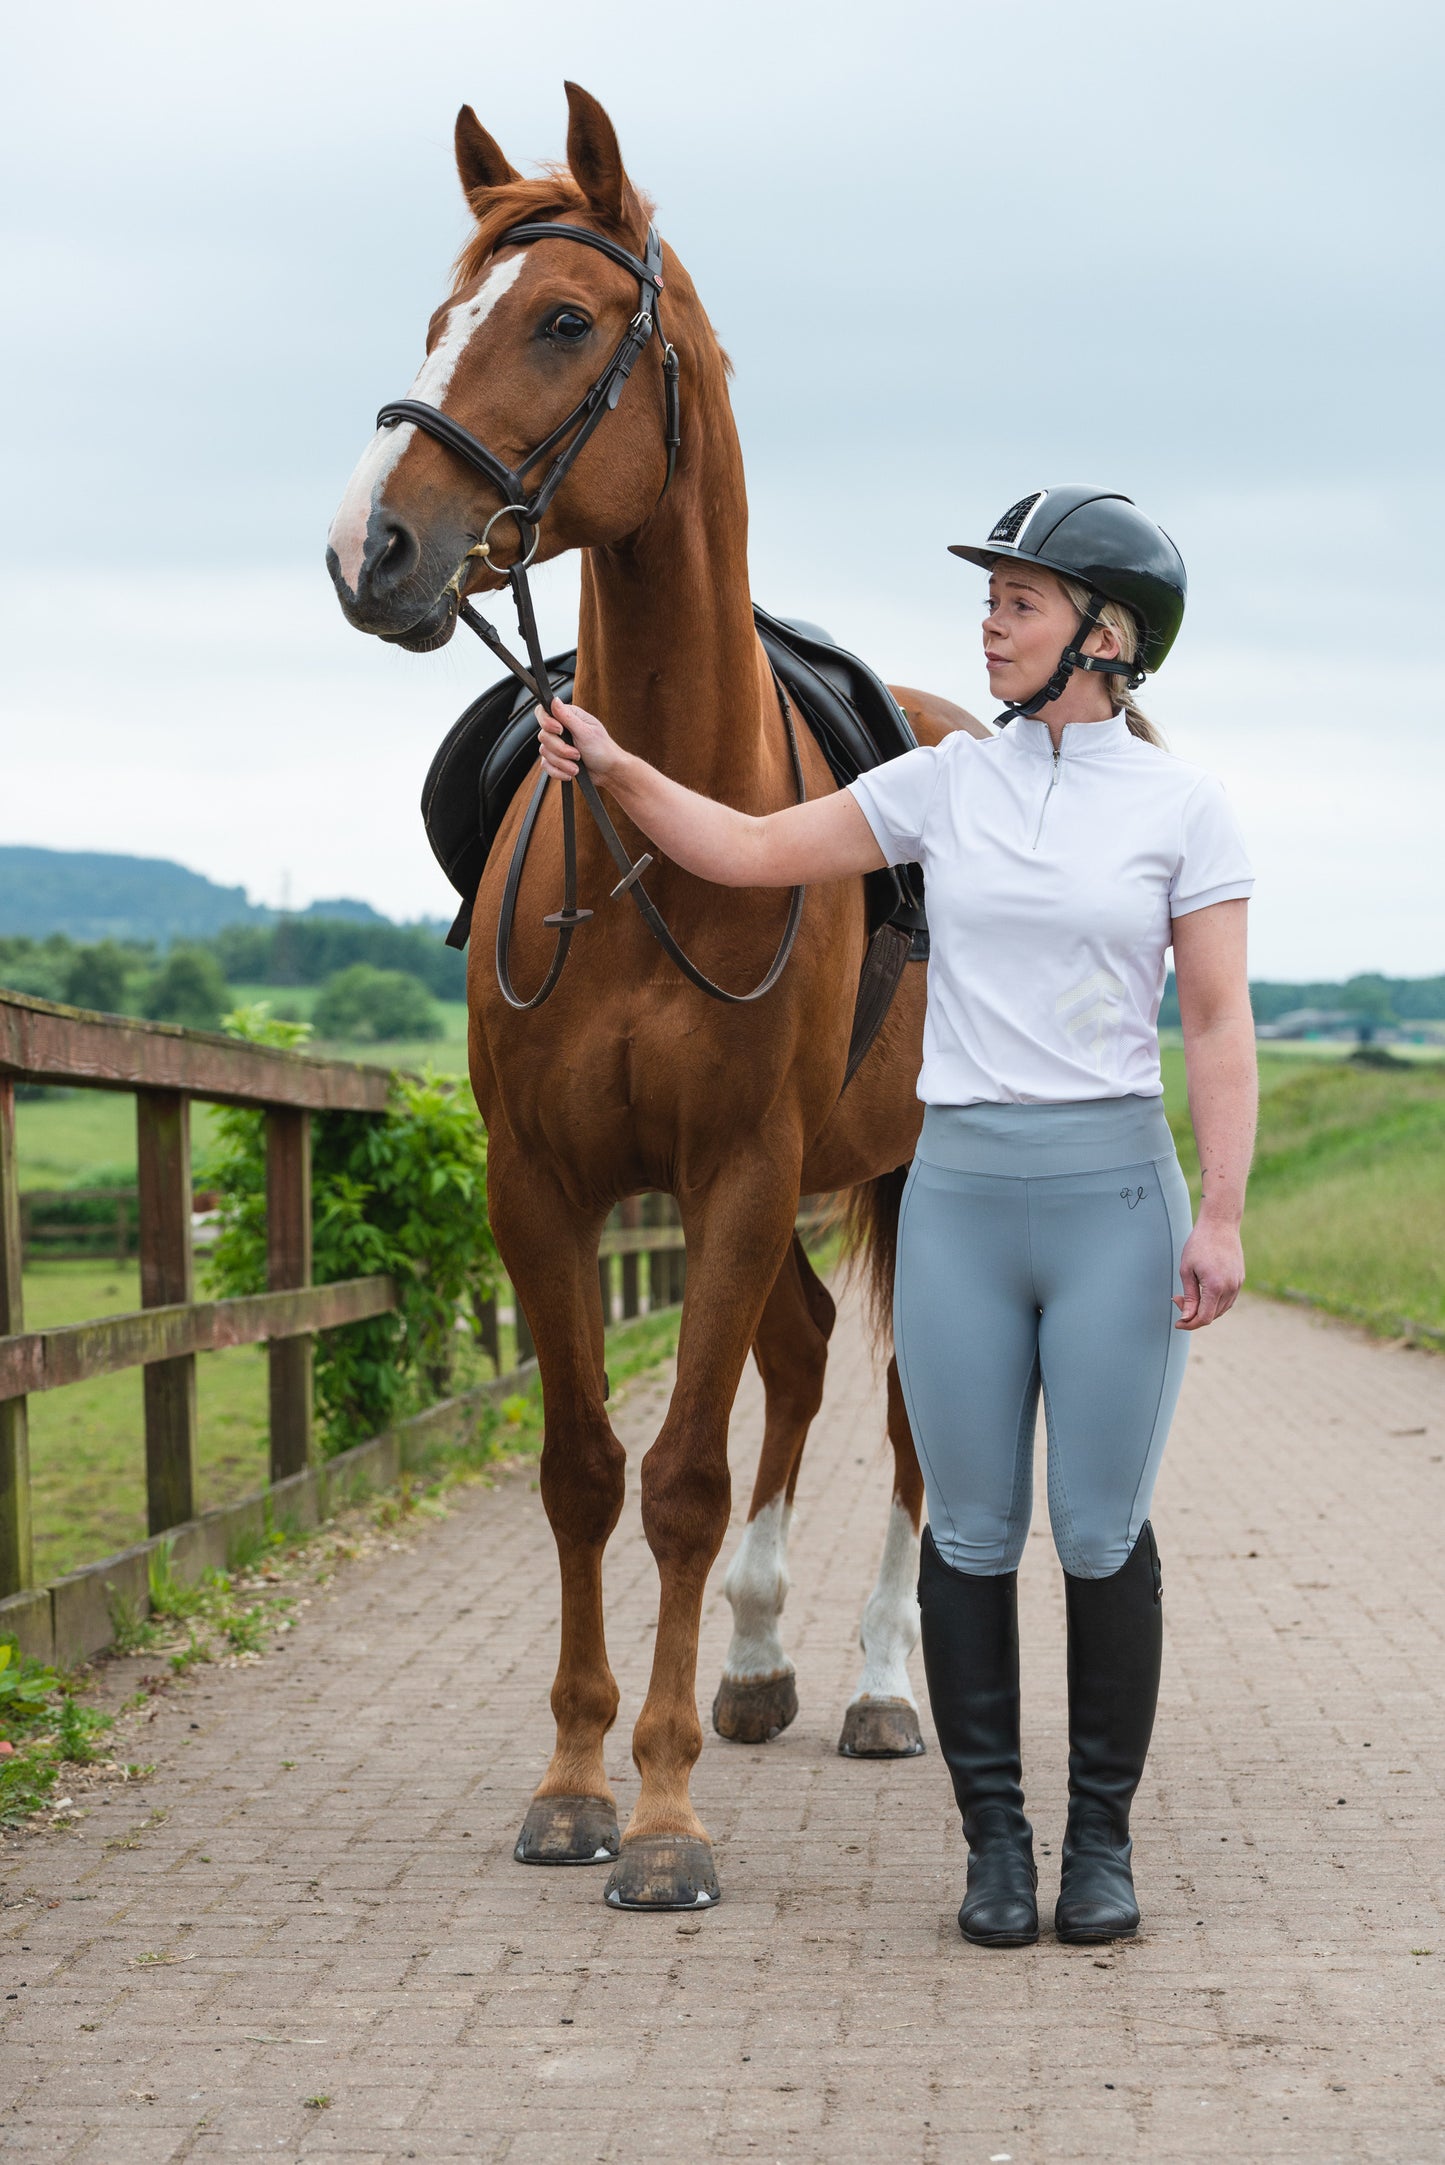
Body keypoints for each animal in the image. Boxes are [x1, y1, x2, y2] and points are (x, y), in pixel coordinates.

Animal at [327, 84, 987, 1913]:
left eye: (562, 320)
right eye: (439, 318)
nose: (370, 548)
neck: (659, 838)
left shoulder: (743, 1171)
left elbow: (682, 1482)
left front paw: (670, 1812)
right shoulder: (547, 1187)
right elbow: (582, 1474)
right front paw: (574, 1781)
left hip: (906, 1172)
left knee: (904, 1413)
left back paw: (882, 1684)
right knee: (810, 1354)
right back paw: (761, 1662)